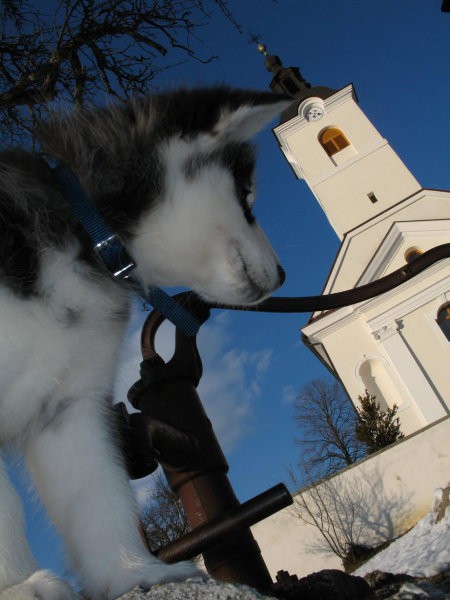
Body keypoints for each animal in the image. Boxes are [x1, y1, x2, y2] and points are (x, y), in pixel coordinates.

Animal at [0, 86, 288, 596]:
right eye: (247, 199)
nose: (283, 275)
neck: (90, 235)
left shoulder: (69, 407)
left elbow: (98, 496)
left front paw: (135, 573)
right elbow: (5, 509)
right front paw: (16, 585)